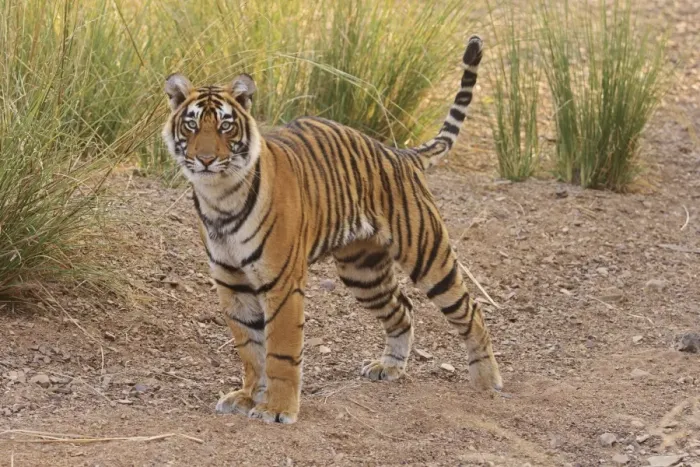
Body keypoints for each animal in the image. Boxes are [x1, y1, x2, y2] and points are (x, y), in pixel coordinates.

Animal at [162, 35, 502, 424]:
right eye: (191, 126)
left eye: (225, 126)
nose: (205, 159)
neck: (219, 197)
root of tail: (399, 154)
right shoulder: (231, 282)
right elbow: (249, 348)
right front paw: (249, 397)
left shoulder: (282, 283)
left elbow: (280, 350)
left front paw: (277, 409)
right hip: (363, 272)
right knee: (402, 308)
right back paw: (390, 367)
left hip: (427, 254)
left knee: (470, 309)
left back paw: (486, 379)